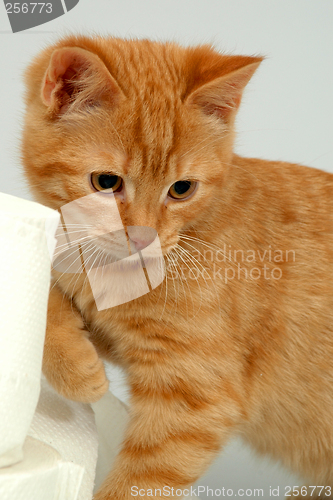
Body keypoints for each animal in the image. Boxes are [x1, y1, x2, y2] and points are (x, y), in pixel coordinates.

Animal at [22, 34, 332, 496]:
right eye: (106, 182)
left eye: (181, 189)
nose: (144, 238)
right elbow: (43, 299)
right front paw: (78, 369)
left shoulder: (195, 396)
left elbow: (138, 483)